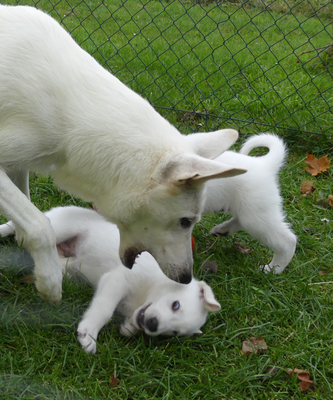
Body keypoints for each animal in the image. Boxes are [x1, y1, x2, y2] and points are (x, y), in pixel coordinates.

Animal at [43, 206, 220, 354]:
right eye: (175, 305)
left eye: (174, 332)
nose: (152, 325)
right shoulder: (117, 279)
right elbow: (104, 310)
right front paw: (89, 333)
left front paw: (129, 327)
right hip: (62, 229)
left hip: (67, 263)